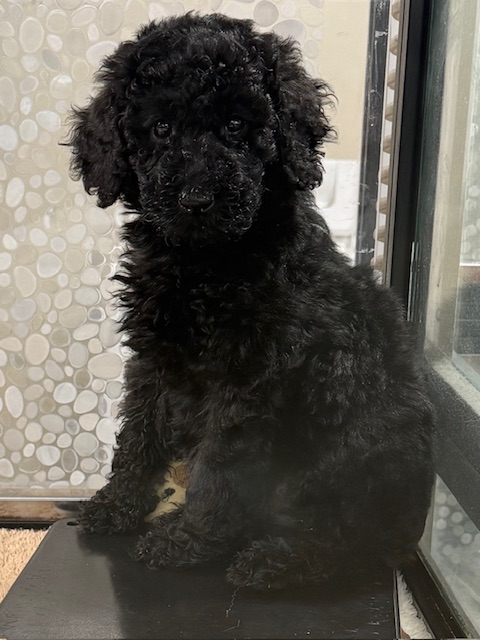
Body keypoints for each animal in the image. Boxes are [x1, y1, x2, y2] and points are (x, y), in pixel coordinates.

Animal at [68, 12, 434, 590]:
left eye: (237, 125)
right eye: (161, 129)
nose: (196, 199)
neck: (204, 263)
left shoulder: (250, 375)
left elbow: (220, 466)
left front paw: (186, 542)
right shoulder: (154, 355)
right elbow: (138, 431)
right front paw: (118, 504)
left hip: (350, 460)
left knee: (354, 547)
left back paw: (272, 562)